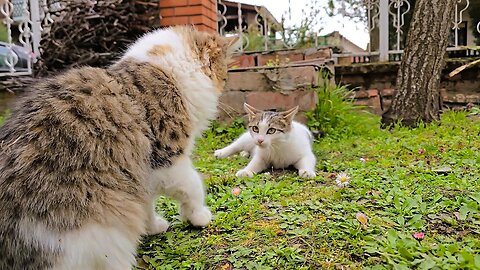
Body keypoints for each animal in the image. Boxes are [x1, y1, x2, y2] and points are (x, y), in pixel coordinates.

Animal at [0, 25, 236, 270]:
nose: (224, 87)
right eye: (224, 76)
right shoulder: (167, 161)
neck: (166, 72)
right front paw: (198, 216)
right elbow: (193, 186)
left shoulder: (143, 176)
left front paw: (153, 227)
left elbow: (148, 205)